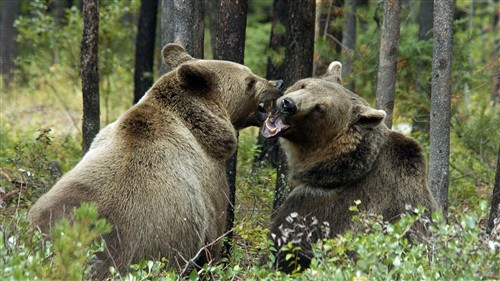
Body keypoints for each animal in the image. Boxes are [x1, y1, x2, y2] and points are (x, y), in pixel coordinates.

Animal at [29, 43, 284, 278]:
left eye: (252, 74)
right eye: (250, 80)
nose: (278, 83)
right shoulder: (210, 184)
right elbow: (214, 238)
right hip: (142, 247)